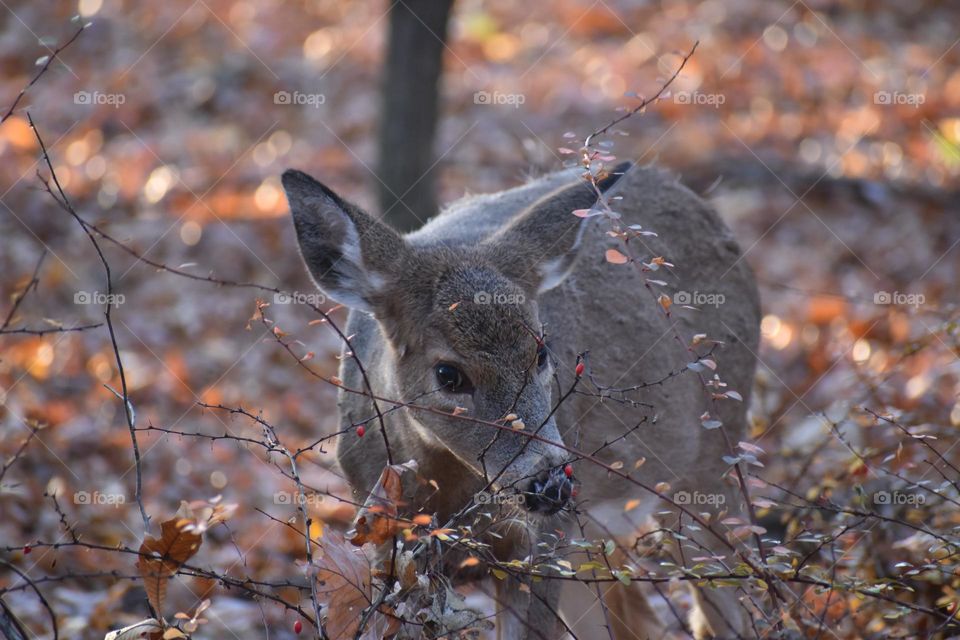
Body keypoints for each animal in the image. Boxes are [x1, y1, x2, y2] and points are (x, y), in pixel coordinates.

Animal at [281, 160, 760, 639]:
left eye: (542, 350)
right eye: (448, 374)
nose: (551, 483)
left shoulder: (540, 541)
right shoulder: (383, 533)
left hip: (713, 462)